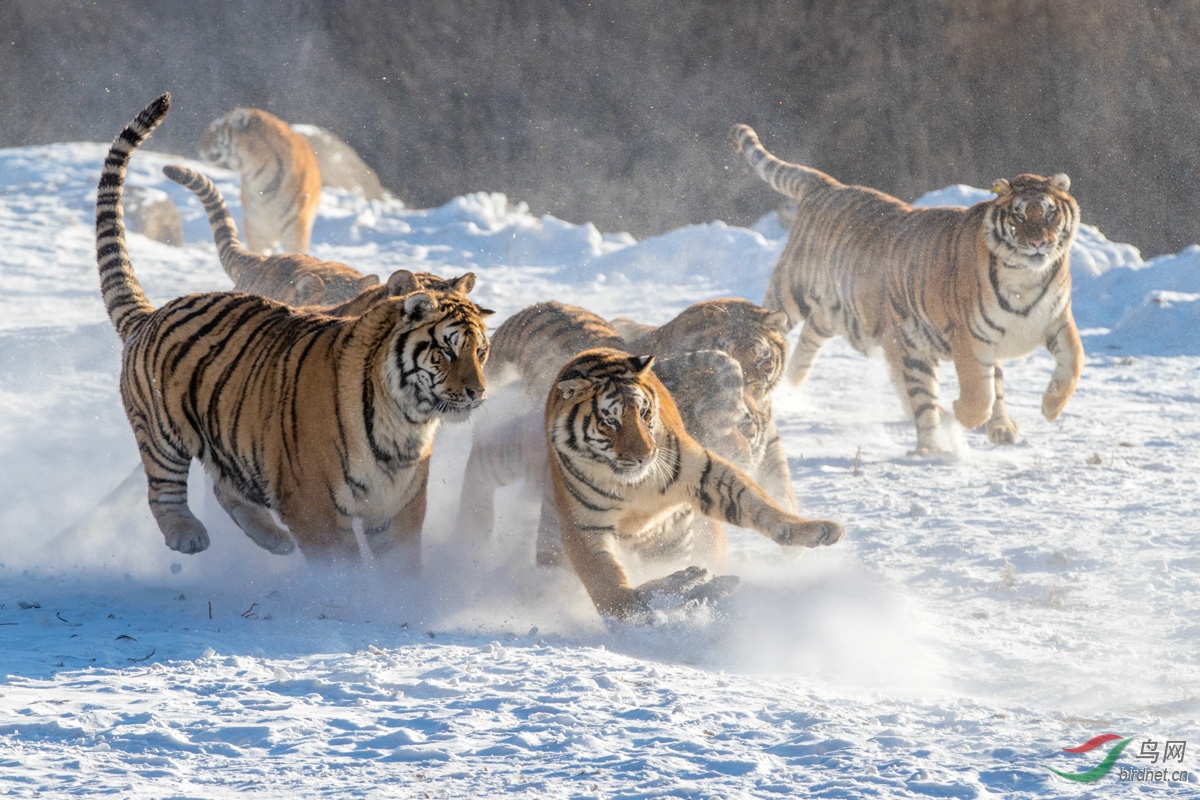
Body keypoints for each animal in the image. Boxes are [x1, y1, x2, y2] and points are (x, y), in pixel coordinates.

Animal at [544, 347, 844, 618]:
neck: (634, 486)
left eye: (644, 413)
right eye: (610, 422)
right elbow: (607, 585)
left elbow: (759, 505)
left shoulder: (705, 474)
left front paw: (816, 530)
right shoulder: (584, 527)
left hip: (675, 539)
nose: (644, 456)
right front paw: (636, 618)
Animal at [729, 122, 1089, 453]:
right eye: (1018, 217)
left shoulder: (1056, 321)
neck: (1026, 279)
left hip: (840, 313)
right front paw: (963, 415)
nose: (1039, 243)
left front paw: (1050, 408)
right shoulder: (970, 337)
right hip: (796, 293)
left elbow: (1073, 362)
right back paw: (934, 447)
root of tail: (829, 185)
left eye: (1049, 214)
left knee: (811, 340)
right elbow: (978, 392)